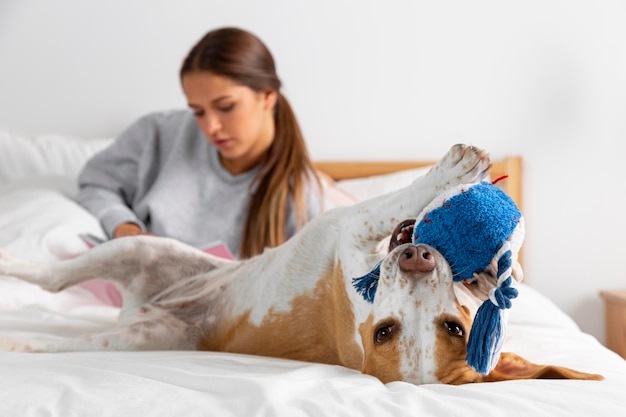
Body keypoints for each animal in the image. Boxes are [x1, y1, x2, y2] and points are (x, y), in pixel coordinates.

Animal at [0, 144, 600, 384]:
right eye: (386, 332)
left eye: (450, 328)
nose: (417, 256)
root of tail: (147, 310)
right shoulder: (353, 233)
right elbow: (400, 208)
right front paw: (490, 262)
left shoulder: (353, 235)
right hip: (140, 249)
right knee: (51, 276)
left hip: (135, 313)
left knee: (50, 292)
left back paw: (19, 336)